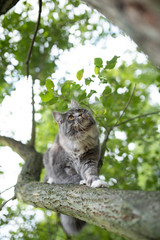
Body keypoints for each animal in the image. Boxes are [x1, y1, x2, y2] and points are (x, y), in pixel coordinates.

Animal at [42, 99, 107, 236]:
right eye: (71, 117)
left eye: (81, 110)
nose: (80, 115)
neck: (81, 143)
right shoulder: (59, 166)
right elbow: (69, 177)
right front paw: (81, 181)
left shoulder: (89, 160)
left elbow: (90, 174)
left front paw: (96, 183)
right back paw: (50, 180)